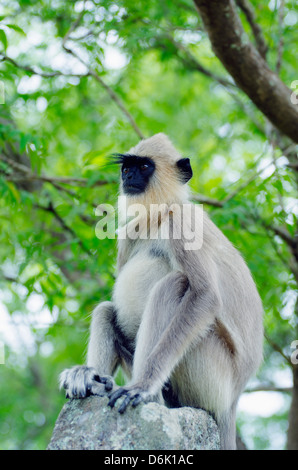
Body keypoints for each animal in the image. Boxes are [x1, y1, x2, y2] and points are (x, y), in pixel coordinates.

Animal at [58, 133, 264, 452]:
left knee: (175, 284)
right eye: (127, 167)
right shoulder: (129, 235)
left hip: (212, 376)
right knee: (107, 309)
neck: (159, 216)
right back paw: (92, 380)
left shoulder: (183, 221)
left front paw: (142, 387)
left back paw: (147, 394)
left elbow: (205, 296)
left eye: (144, 167)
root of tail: (233, 401)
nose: (128, 176)